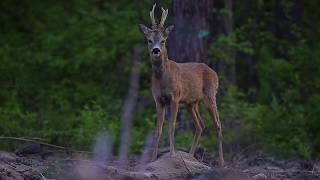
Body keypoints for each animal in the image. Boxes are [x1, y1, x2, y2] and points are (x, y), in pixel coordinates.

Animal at [139, 3, 224, 166]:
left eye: (163, 40)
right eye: (149, 40)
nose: (156, 50)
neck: (162, 78)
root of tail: (214, 72)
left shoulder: (175, 97)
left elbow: (172, 125)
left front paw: (172, 154)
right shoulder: (158, 100)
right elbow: (158, 129)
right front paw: (152, 159)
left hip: (210, 94)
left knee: (217, 123)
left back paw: (222, 162)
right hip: (192, 103)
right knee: (200, 125)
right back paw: (190, 156)